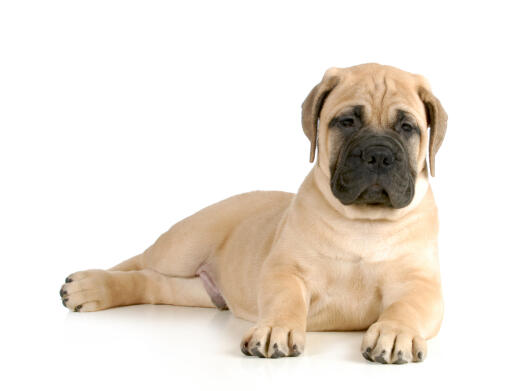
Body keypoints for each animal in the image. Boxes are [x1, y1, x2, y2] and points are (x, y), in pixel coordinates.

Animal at [61, 62, 448, 366]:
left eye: (407, 127)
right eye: (348, 121)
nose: (379, 155)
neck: (364, 223)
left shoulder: (420, 284)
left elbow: (407, 307)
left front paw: (395, 332)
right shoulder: (285, 270)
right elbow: (285, 300)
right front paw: (277, 328)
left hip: (197, 291)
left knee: (153, 284)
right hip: (182, 246)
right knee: (139, 262)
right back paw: (89, 284)